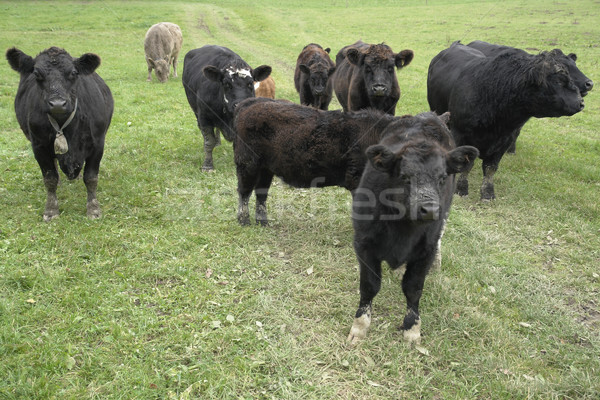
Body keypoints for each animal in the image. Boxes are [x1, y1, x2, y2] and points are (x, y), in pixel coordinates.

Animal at [6, 48, 113, 222]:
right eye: (36, 73)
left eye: (74, 73)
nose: (57, 104)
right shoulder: (39, 147)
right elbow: (50, 179)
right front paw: (51, 210)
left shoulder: (98, 144)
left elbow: (91, 178)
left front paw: (93, 209)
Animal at [233, 97, 398, 227]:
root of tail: (252, 102)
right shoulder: (357, 180)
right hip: (248, 164)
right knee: (244, 192)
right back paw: (244, 221)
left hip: (265, 169)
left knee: (261, 193)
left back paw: (262, 222)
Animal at [346, 111, 478, 344]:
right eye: (404, 177)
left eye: (442, 177)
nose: (430, 209)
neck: (402, 229)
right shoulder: (363, 243)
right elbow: (370, 285)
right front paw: (360, 326)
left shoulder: (425, 251)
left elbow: (413, 288)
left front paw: (412, 328)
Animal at [428, 40, 584, 200]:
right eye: (558, 81)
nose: (580, 102)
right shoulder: (460, 133)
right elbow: (466, 165)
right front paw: (461, 189)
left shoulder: (505, 140)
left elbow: (490, 168)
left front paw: (488, 193)